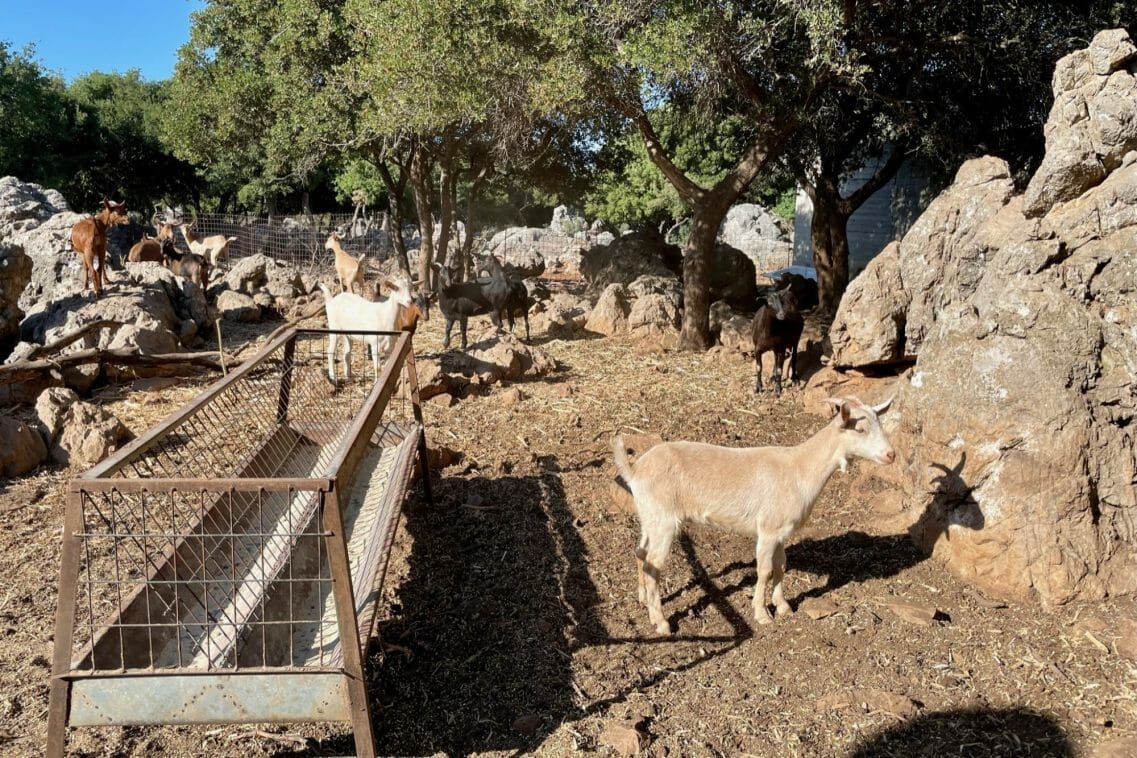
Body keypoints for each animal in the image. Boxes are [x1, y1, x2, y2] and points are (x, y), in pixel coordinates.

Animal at [613, 395, 895, 636]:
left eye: (880, 423)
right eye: (860, 429)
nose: (891, 454)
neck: (799, 469)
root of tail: (635, 470)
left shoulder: (782, 532)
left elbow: (782, 565)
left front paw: (783, 606)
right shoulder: (768, 529)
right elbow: (765, 570)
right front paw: (762, 614)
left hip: (650, 516)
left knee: (640, 552)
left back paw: (643, 599)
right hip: (664, 520)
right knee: (653, 565)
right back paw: (660, 622)